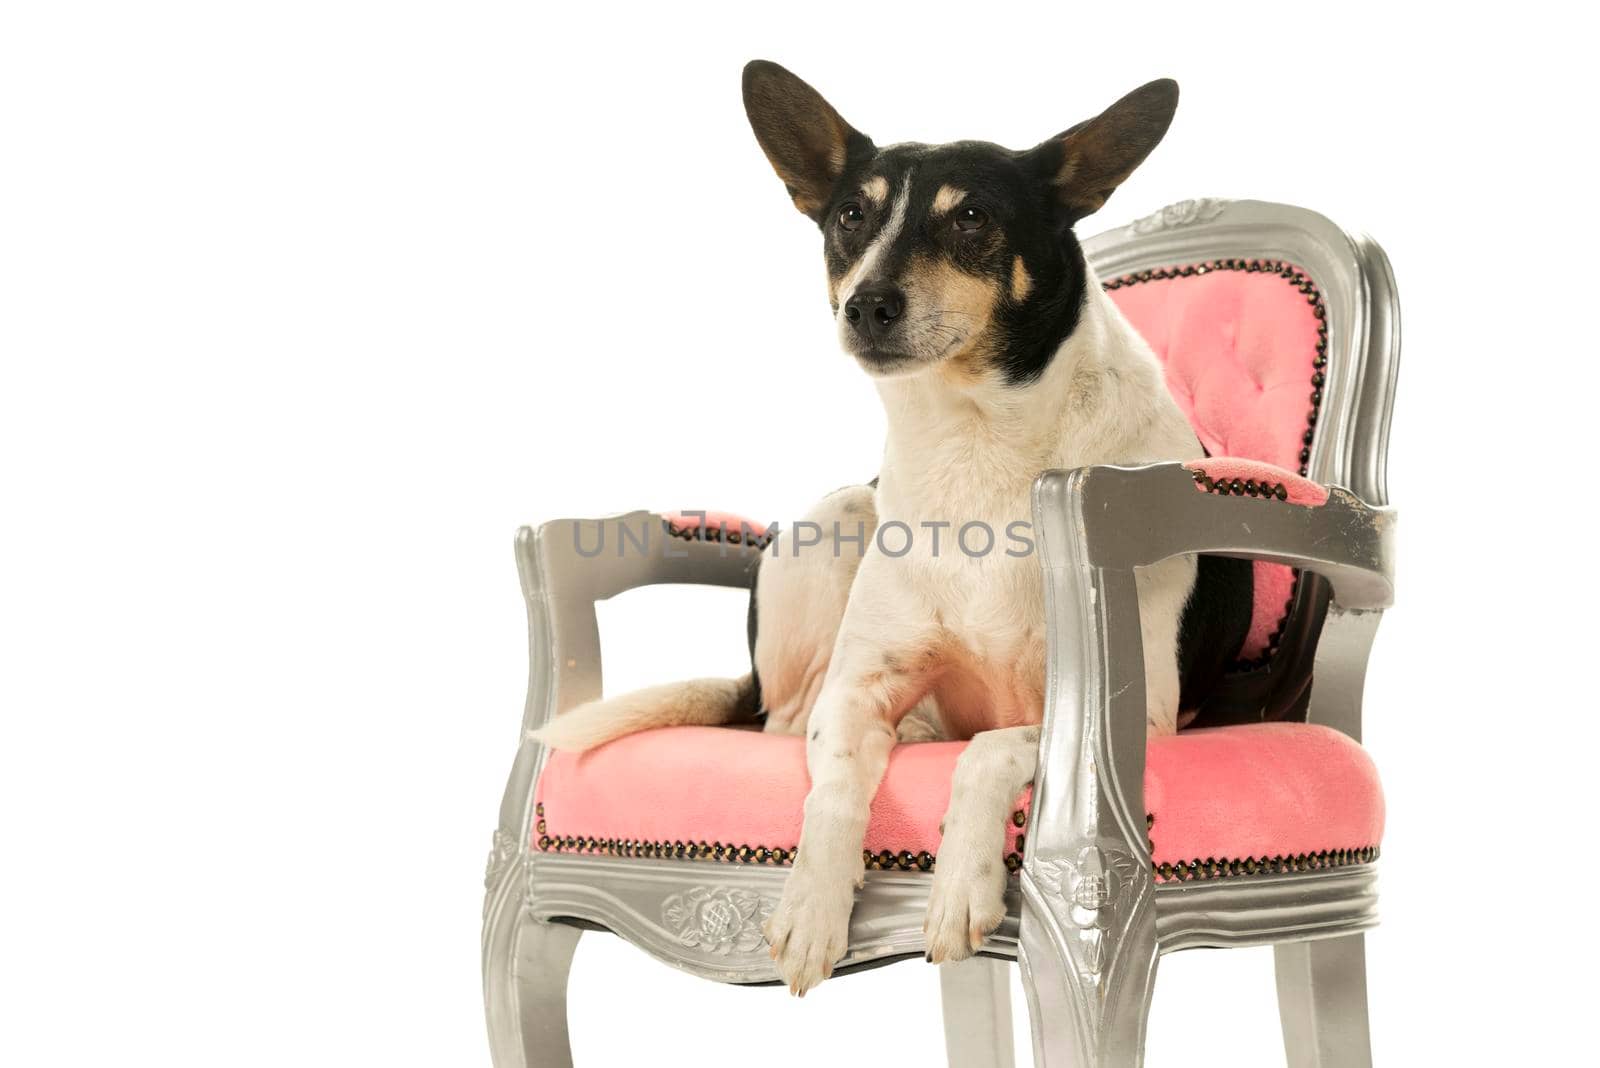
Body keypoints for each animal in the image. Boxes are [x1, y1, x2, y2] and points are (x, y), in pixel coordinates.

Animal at [537, 62, 1248, 997]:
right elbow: (833, 785)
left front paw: (958, 888)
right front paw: (811, 908)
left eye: (972, 216)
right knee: (784, 721)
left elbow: (989, 751)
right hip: (836, 520)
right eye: (851, 216)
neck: (975, 439)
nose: (867, 304)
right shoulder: (854, 691)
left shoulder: (1130, 721)